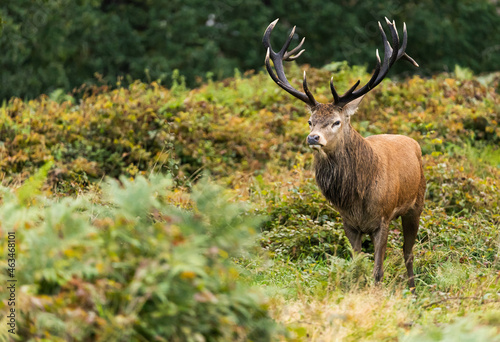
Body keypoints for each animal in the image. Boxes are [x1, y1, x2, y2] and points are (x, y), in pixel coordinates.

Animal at [262, 18, 426, 290]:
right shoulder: (349, 223)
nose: (313, 138)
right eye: (310, 121)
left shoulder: (382, 219)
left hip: (417, 203)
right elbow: (357, 267)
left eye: (336, 121)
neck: (357, 196)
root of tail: (413, 143)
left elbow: (378, 271)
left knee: (408, 251)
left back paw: (412, 290)